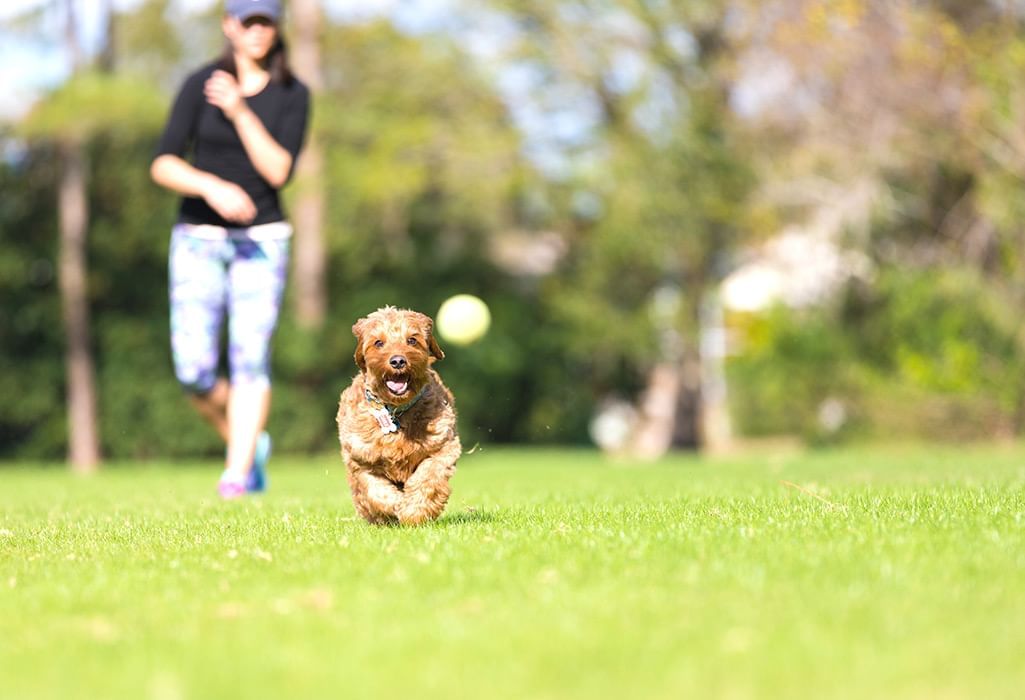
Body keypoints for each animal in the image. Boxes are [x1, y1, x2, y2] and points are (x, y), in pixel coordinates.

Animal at [336, 307, 461, 524]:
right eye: (378, 342)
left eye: (412, 340)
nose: (398, 361)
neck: (395, 410)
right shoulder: (360, 460)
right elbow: (375, 492)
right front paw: (396, 505)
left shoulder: (443, 447)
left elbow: (428, 478)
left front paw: (414, 511)